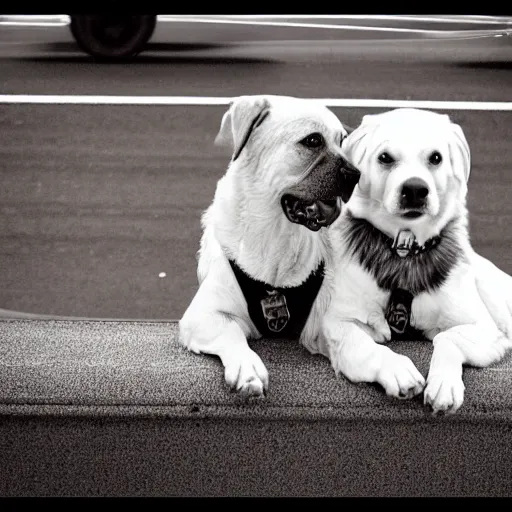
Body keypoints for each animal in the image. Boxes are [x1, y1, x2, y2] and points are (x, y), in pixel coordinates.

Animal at [179, 97, 360, 400]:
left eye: (342, 141)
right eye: (313, 140)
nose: (356, 174)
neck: (278, 240)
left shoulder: (320, 322)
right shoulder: (203, 315)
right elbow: (231, 332)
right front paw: (247, 367)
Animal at [320, 109, 512, 416]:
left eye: (436, 157)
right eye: (385, 157)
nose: (414, 190)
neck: (406, 254)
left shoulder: (486, 330)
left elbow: (446, 338)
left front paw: (444, 384)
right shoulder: (339, 322)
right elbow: (364, 346)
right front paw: (397, 369)